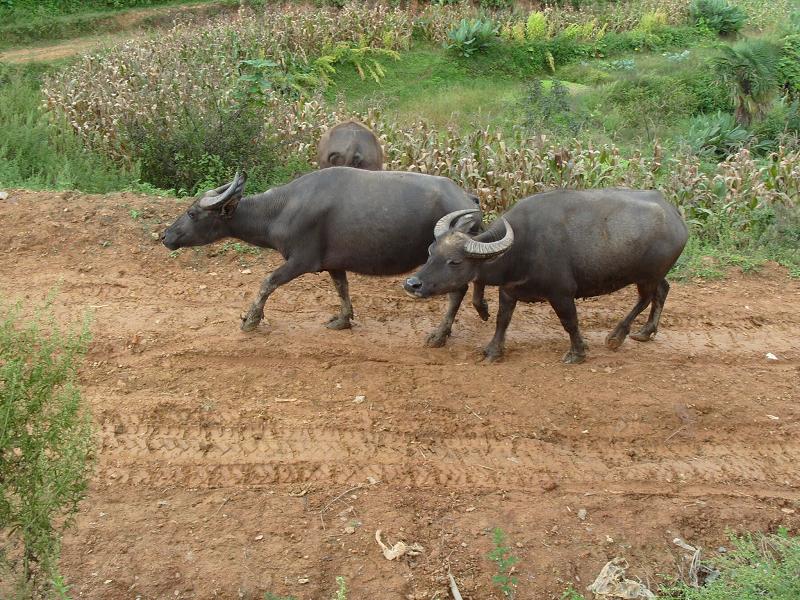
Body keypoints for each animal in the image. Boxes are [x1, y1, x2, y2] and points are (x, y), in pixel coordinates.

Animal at [162, 166, 488, 344]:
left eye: (192, 213)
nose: (165, 236)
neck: (281, 209)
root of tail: (468, 198)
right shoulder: (334, 263)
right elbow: (341, 288)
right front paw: (343, 319)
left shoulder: (300, 261)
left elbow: (268, 282)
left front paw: (251, 320)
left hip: (449, 261)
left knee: (457, 291)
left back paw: (440, 334)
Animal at [404, 190, 692, 364]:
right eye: (431, 251)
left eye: (455, 261)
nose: (412, 284)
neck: (522, 247)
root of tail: (675, 215)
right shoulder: (508, 291)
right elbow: (502, 321)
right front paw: (493, 351)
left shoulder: (561, 293)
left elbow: (570, 322)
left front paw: (577, 353)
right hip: (655, 275)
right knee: (662, 290)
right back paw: (645, 332)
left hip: (647, 275)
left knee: (645, 298)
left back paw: (616, 336)